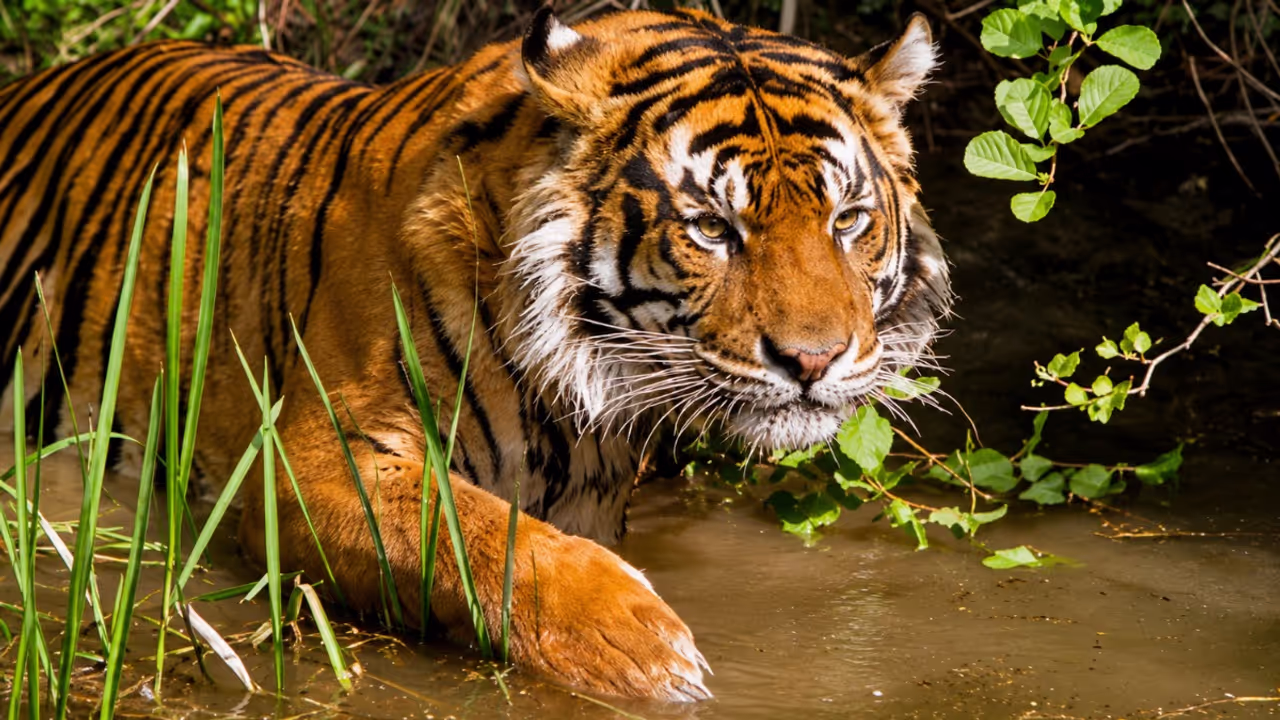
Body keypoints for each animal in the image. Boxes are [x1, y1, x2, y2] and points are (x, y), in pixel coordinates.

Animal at [0, 6, 950, 700]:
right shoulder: (309, 459)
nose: (814, 360)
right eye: (713, 228)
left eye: (848, 220)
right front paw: (648, 654)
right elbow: (485, 534)